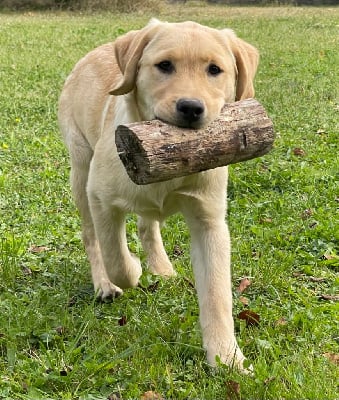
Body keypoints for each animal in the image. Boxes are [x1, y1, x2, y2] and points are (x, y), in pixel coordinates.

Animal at [59, 18, 260, 368]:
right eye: (164, 65)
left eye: (215, 70)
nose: (191, 108)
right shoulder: (100, 198)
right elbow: (116, 258)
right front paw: (130, 269)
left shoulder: (210, 222)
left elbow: (217, 294)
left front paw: (227, 357)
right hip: (80, 169)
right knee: (91, 236)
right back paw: (104, 283)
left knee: (147, 224)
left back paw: (161, 267)